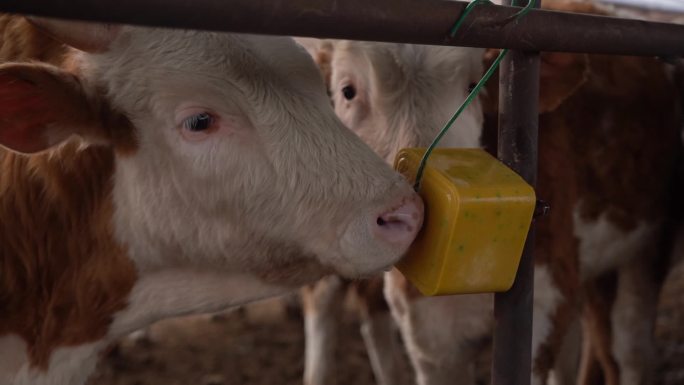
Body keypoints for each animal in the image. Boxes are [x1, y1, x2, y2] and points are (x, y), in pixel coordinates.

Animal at [302, 0, 680, 384]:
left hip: (647, 249)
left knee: (628, 347)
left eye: (474, 86)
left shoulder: (544, 306)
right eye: (348, 91)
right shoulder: (429, 337)